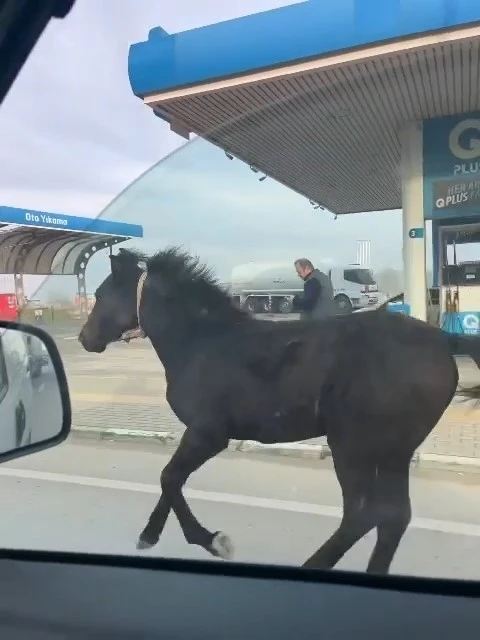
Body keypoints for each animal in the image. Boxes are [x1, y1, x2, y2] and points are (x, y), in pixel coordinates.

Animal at [79, 248, 480, 572]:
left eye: (100, 294)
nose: (85, 339)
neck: (201, 342)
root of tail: (443, 341)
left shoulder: (208, 434)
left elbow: (169, 477)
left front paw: (214, 541)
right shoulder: (200, 435)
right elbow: (171, 479)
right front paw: (148, 535)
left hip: (353, 445)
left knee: (363, 513)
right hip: (394, 450)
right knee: (394, 516)